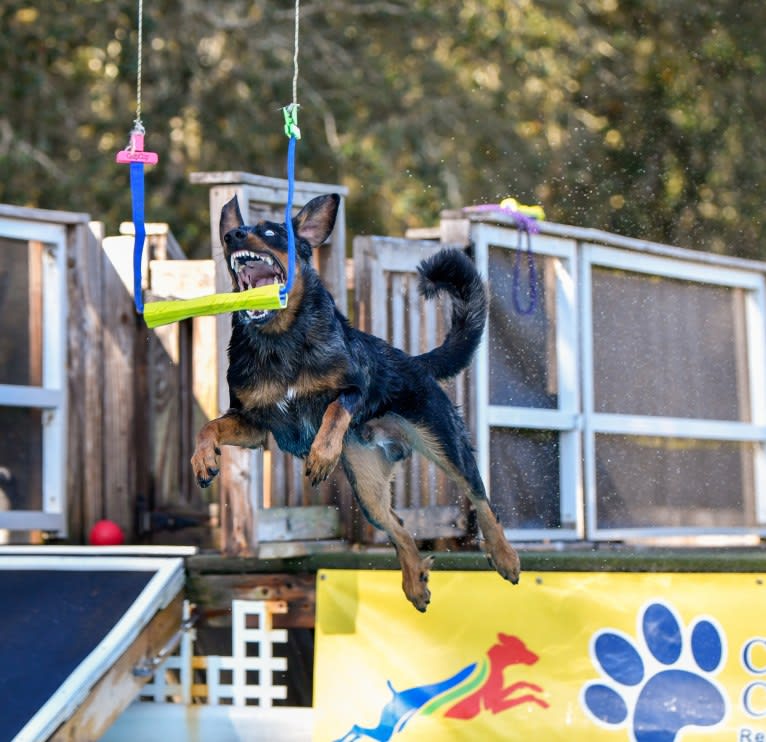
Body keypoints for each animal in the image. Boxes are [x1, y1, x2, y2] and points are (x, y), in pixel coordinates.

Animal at [192, 193, 520, 612]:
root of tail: (414, 363)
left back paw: (505, 556)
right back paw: (415, 581)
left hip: (446, 445)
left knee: (481, 499)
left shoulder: (355, 389)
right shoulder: (253, 424)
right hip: (368, 488)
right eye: (236, 231)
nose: (232, 235)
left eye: (271, 232)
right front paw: (203, 459)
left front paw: (321, 455)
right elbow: (209, 426)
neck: (280, 340)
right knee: (399, 529)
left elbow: (335, 410)